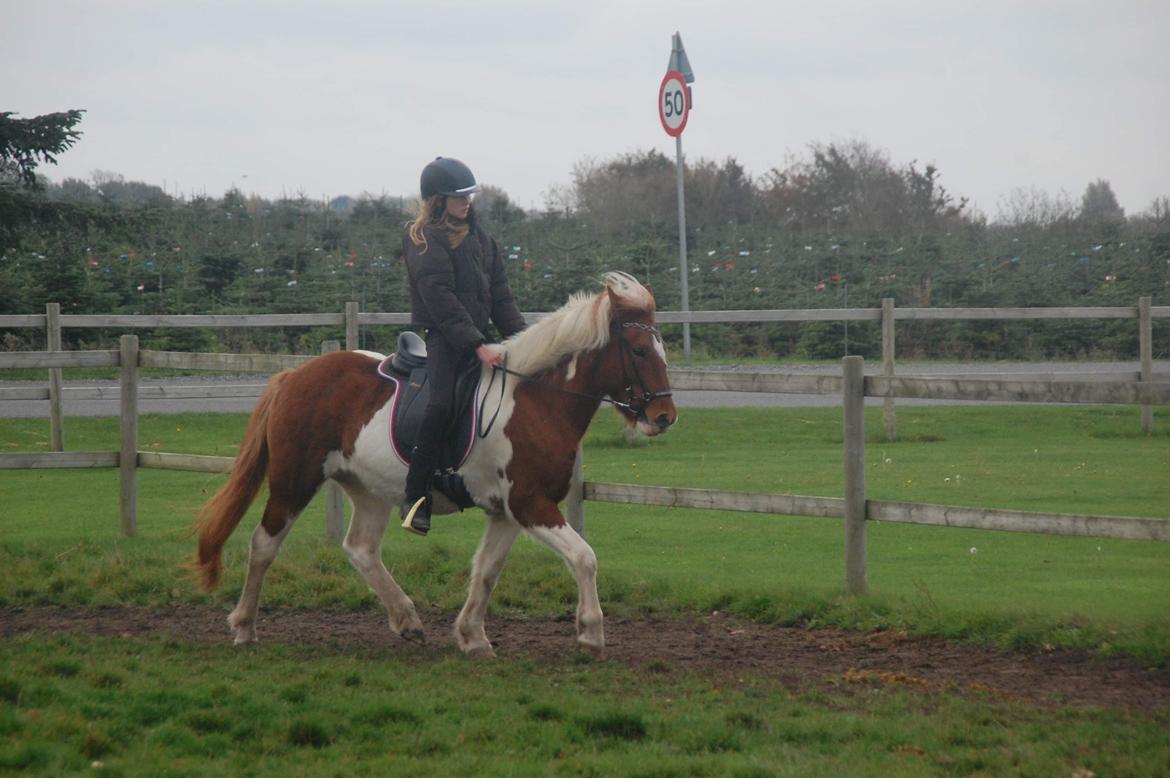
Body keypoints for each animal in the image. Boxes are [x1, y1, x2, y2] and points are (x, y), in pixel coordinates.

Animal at [189, 271, 678, 655]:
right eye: (638, 351)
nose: (664, 417)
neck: (536, 402)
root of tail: (295, 375)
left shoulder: (507, 512)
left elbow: (486, 571)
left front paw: (472, 637)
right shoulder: (530, 505)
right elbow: (584, 557)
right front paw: (591, 634)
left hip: (367, 489)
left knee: (360, 548)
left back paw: (407, 619)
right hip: (294, 480)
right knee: (263, 545)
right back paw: (244, 627)